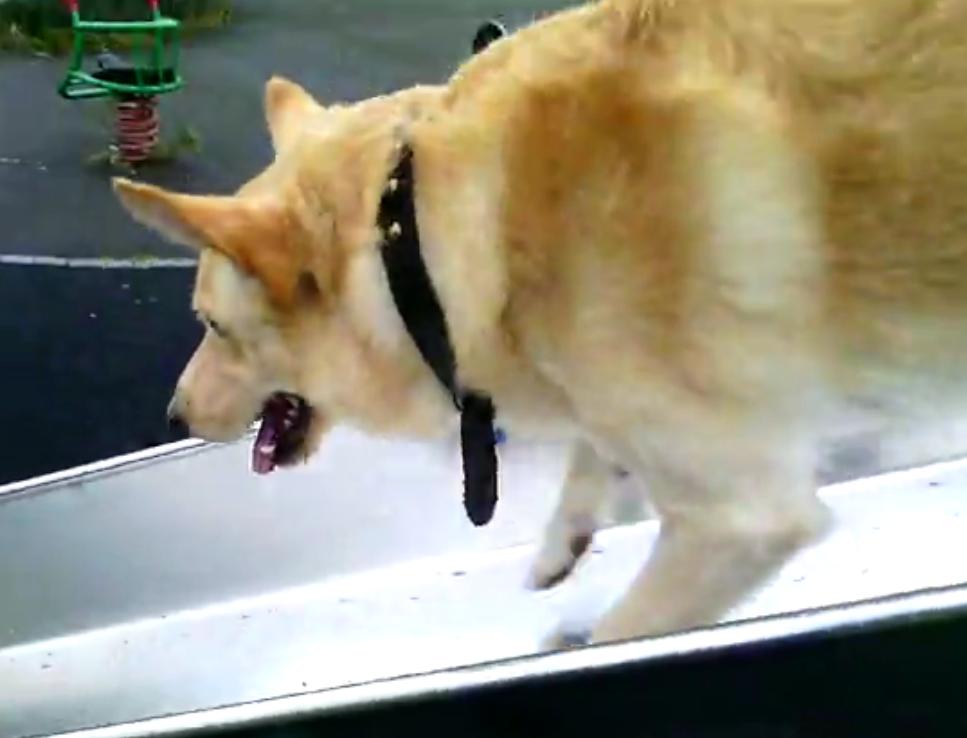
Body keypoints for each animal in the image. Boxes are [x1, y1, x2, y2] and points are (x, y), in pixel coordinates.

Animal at [109, 0, 967, 644]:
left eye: (214, 326)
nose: (173, 413)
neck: (417, 238)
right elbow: (593, 442)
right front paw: (565, 535)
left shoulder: (737, 517)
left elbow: (622, 635)